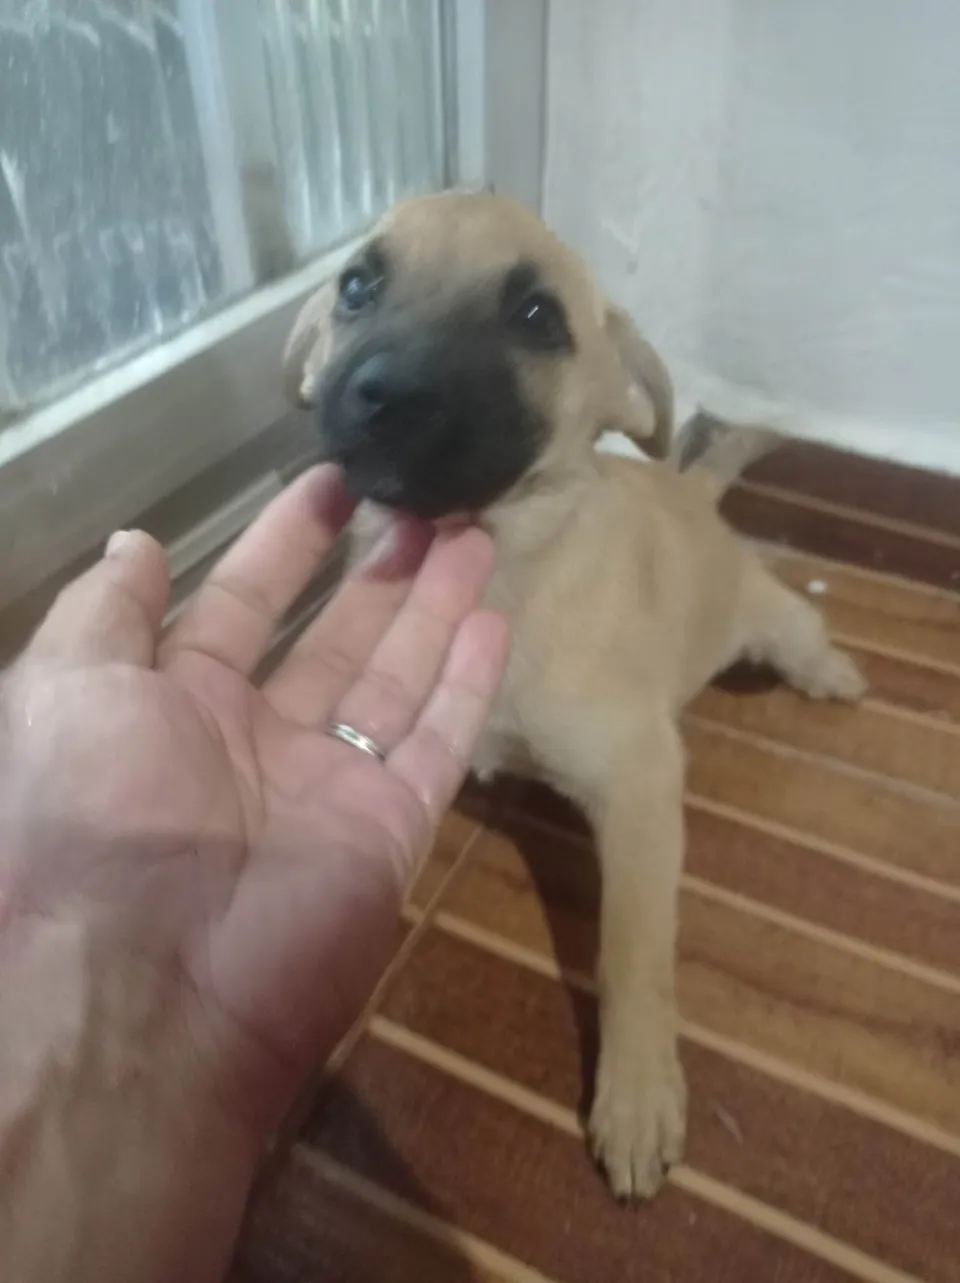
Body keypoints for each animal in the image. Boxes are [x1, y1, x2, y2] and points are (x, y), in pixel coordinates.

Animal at [281, 191, 866, 1199]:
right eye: (356, 285)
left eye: (536, 317)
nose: (385, 397)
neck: (502, 562)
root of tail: (692, 495)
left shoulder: (639, 787)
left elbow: (635, 953)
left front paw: (636, 1091)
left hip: (770, 620)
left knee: (800, 631)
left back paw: (828, 672)